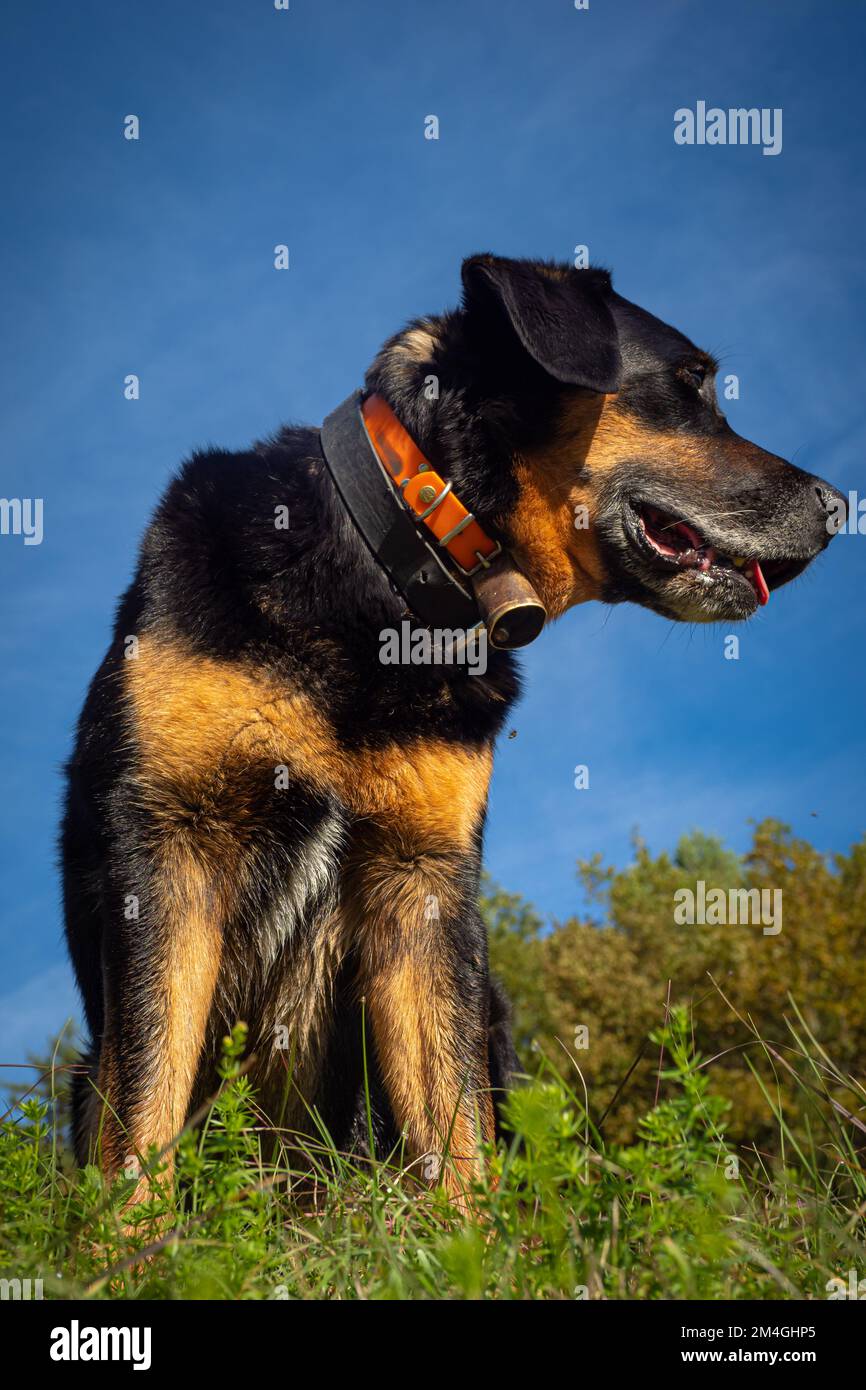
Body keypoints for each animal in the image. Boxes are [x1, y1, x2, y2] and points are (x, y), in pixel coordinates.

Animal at [61, 255, 845, 1200]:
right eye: (691, 383)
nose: (840, 506)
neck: (388, 578)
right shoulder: (170, 847)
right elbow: (144, 1111)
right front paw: (127, 1238)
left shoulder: (424, 884)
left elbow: (458, 1134)